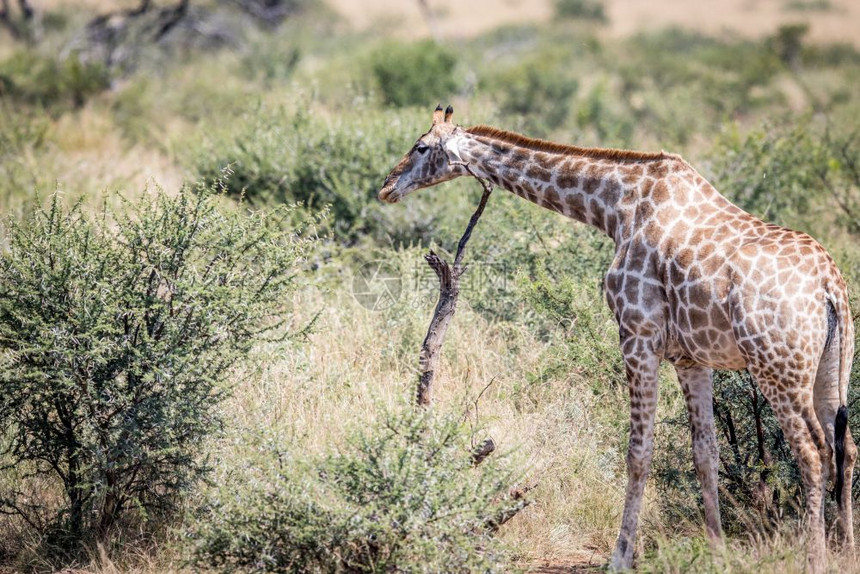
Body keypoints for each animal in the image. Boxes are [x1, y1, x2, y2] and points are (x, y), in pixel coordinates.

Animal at [380, 106, 856, 572]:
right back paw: (846, 550)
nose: (386, 187)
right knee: (844, 449)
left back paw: (815, 558)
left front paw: (620, 557)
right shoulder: (691, 358)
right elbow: (706, 453)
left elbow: (637, 453)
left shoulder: (637, 336)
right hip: (831, 369)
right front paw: (717, 554)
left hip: (777, 368)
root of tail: (829, 286)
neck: (615, 208)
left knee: (812, 453)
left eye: (420, 146)